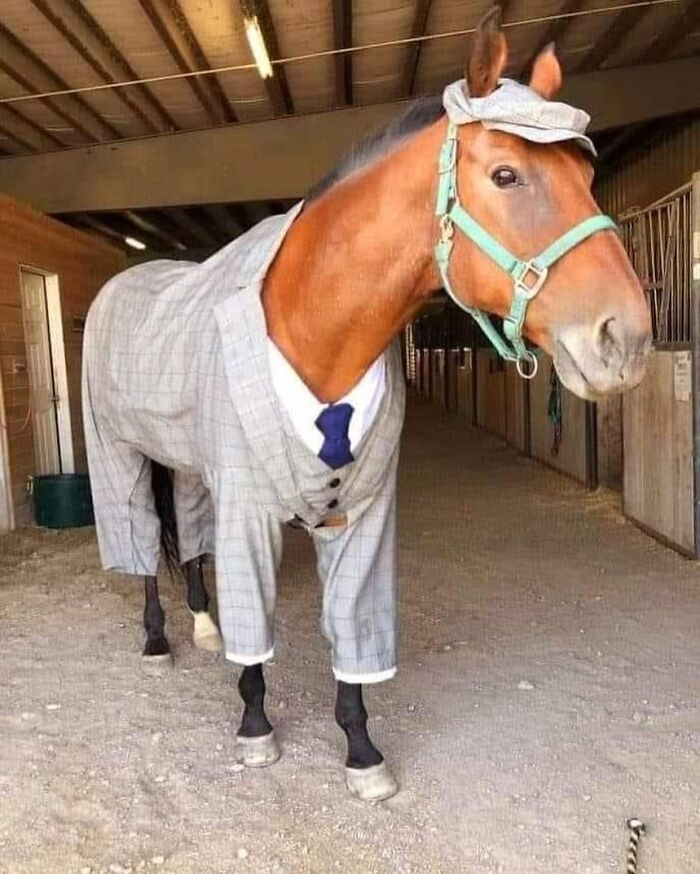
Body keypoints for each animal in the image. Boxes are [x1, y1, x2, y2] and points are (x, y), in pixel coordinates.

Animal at [82, 7, 651, 803]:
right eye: (506, 174)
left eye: (590, 176)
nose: (624, 338)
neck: (314, 327)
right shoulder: (248, 508)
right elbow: (257, 634)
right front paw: (256, 727)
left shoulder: (364, 513)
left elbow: (354, 636)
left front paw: (361, 751)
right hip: (117, 451)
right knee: (137, 540)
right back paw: (159, 638)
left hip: (189, 465)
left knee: (188, 539)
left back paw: (202, 626)